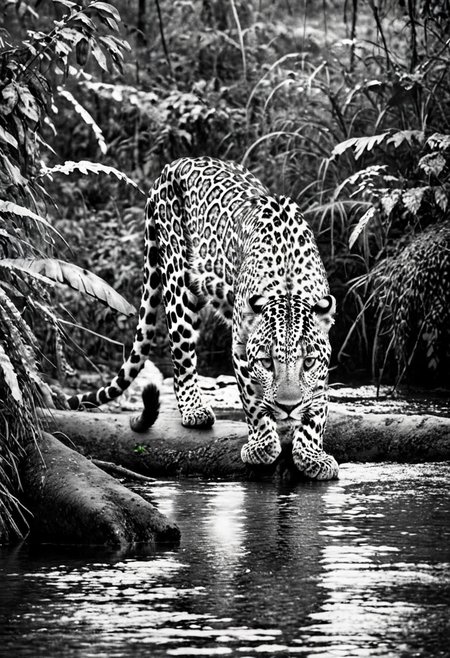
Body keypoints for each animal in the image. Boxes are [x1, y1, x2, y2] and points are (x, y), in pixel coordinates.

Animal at [68, 157, 339, 480]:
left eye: (308, 362)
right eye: (266, 362)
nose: (287, 407)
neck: (286, 281)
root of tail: (172, 165)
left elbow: (317, 405)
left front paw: (312, 454)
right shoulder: (240, 347)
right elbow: (252, 400)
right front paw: (262, 445)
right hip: (178, 286)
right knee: (181, 359)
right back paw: (194, 409)